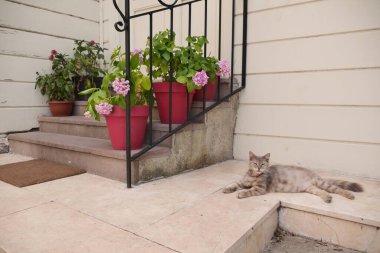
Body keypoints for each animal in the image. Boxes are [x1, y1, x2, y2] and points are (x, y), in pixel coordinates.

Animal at [224, 150, 364, 204]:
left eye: (263, 164)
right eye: (255, 163)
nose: (259, 168)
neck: (253, 175)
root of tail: (315, 174)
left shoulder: (260, 188)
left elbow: (249, 191)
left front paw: (241, 193)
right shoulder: (243, 181)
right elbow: (234, 184)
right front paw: (227, 189)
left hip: (322, 184)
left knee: (338, 189)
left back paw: (349, 195)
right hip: (311, 188)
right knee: (322, 192)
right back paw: (327, 198)